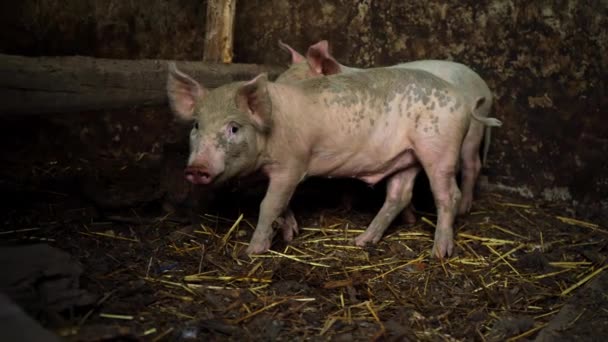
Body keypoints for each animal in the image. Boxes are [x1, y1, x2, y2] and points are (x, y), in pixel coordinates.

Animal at [165, 62, 498, 258]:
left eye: (233, 127)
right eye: (197, 125)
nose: (196, 169)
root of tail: (463, 99)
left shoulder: (292, 165)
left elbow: (269, 204)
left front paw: (253, 252)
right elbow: (282, 205)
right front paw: (291, 233)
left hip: (439, 149)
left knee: (448, 194)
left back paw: (439, 252)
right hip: (407, 157)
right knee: (398, 195)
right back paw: (361, 242)